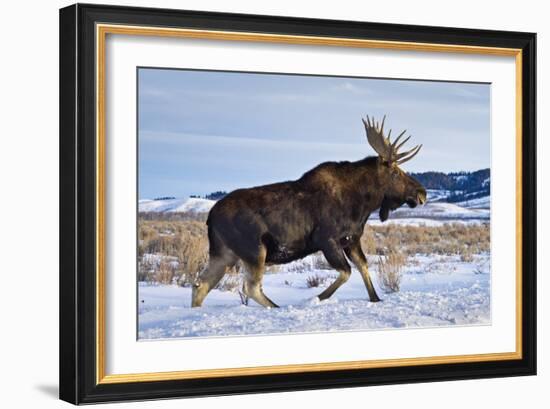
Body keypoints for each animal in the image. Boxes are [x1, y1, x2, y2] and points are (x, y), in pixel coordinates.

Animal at [192, 115, 430, 306]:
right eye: (396, 172)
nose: (422, 192)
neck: (363, 204)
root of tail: (210, 217)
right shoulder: (326, 239)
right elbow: (346, 271)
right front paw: (317, 297)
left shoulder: (352, 239)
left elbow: (363, 267)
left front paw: (375, 298)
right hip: (253, 250)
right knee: (250, 287)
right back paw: (276, 307)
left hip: (224, 253)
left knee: (201, 284)